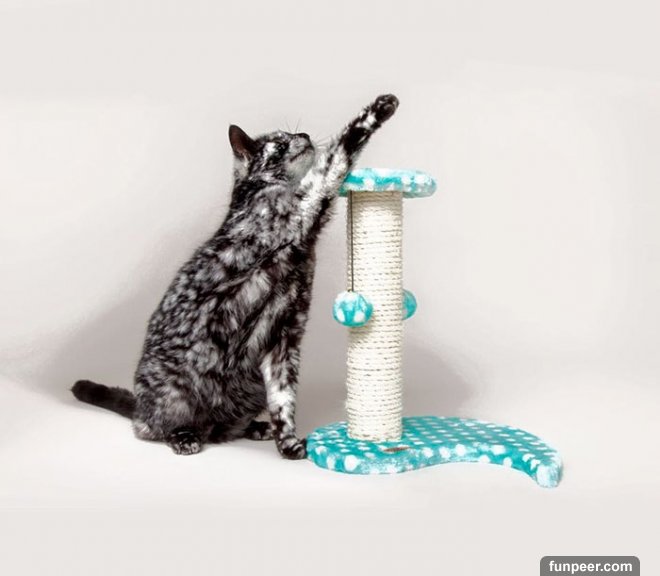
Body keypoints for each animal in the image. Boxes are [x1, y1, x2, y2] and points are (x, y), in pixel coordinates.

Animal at [72, 94, 399, 458]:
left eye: (294, 135)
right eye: (280, 142)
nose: (304, 136)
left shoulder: (285, 337)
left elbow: (283, 398)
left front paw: (288, 442)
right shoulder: (307, 203)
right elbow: (340, 153)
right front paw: (381, 107)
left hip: (250, 385)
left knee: (221, 429)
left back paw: (256, 428)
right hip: (174, 394)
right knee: (152, 428)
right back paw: (184, 436)